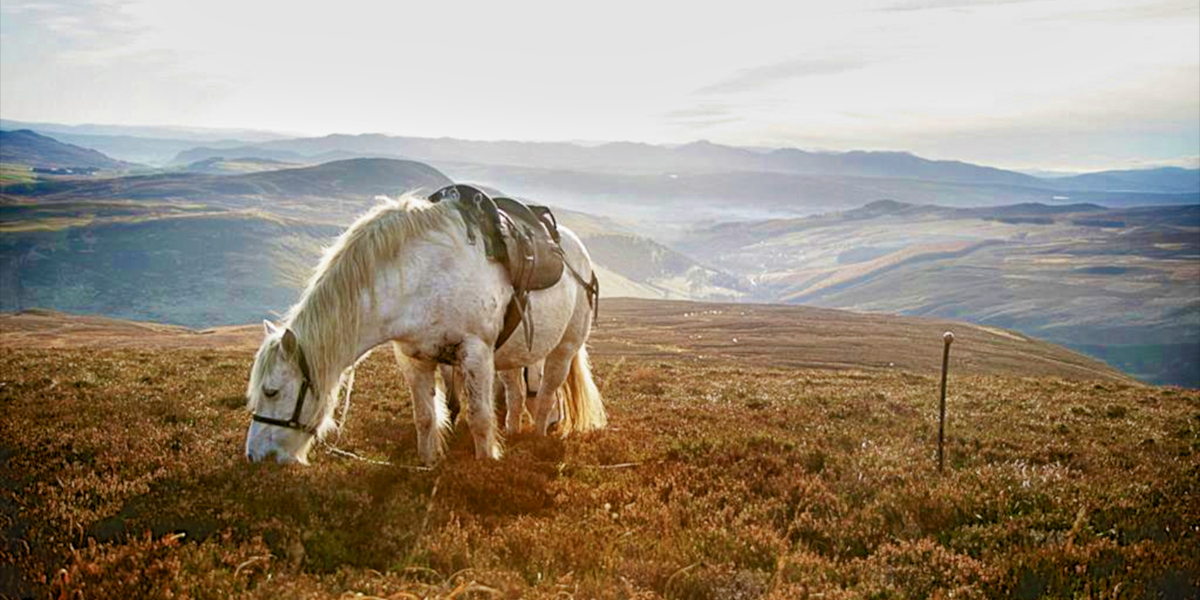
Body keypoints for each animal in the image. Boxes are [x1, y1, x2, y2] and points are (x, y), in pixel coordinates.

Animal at [245, 192, 606, 465]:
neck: (420, 275)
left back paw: (538, 439)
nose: (255, 456)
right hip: (512, 357)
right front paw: (428, 463)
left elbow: (479, 417)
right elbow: (426, 417)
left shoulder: (474, 353)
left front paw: (486, 466)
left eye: (271, 391)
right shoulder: (413, 358)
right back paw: (514, 432)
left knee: (545, 395)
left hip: (564, 349)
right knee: (516, 394)